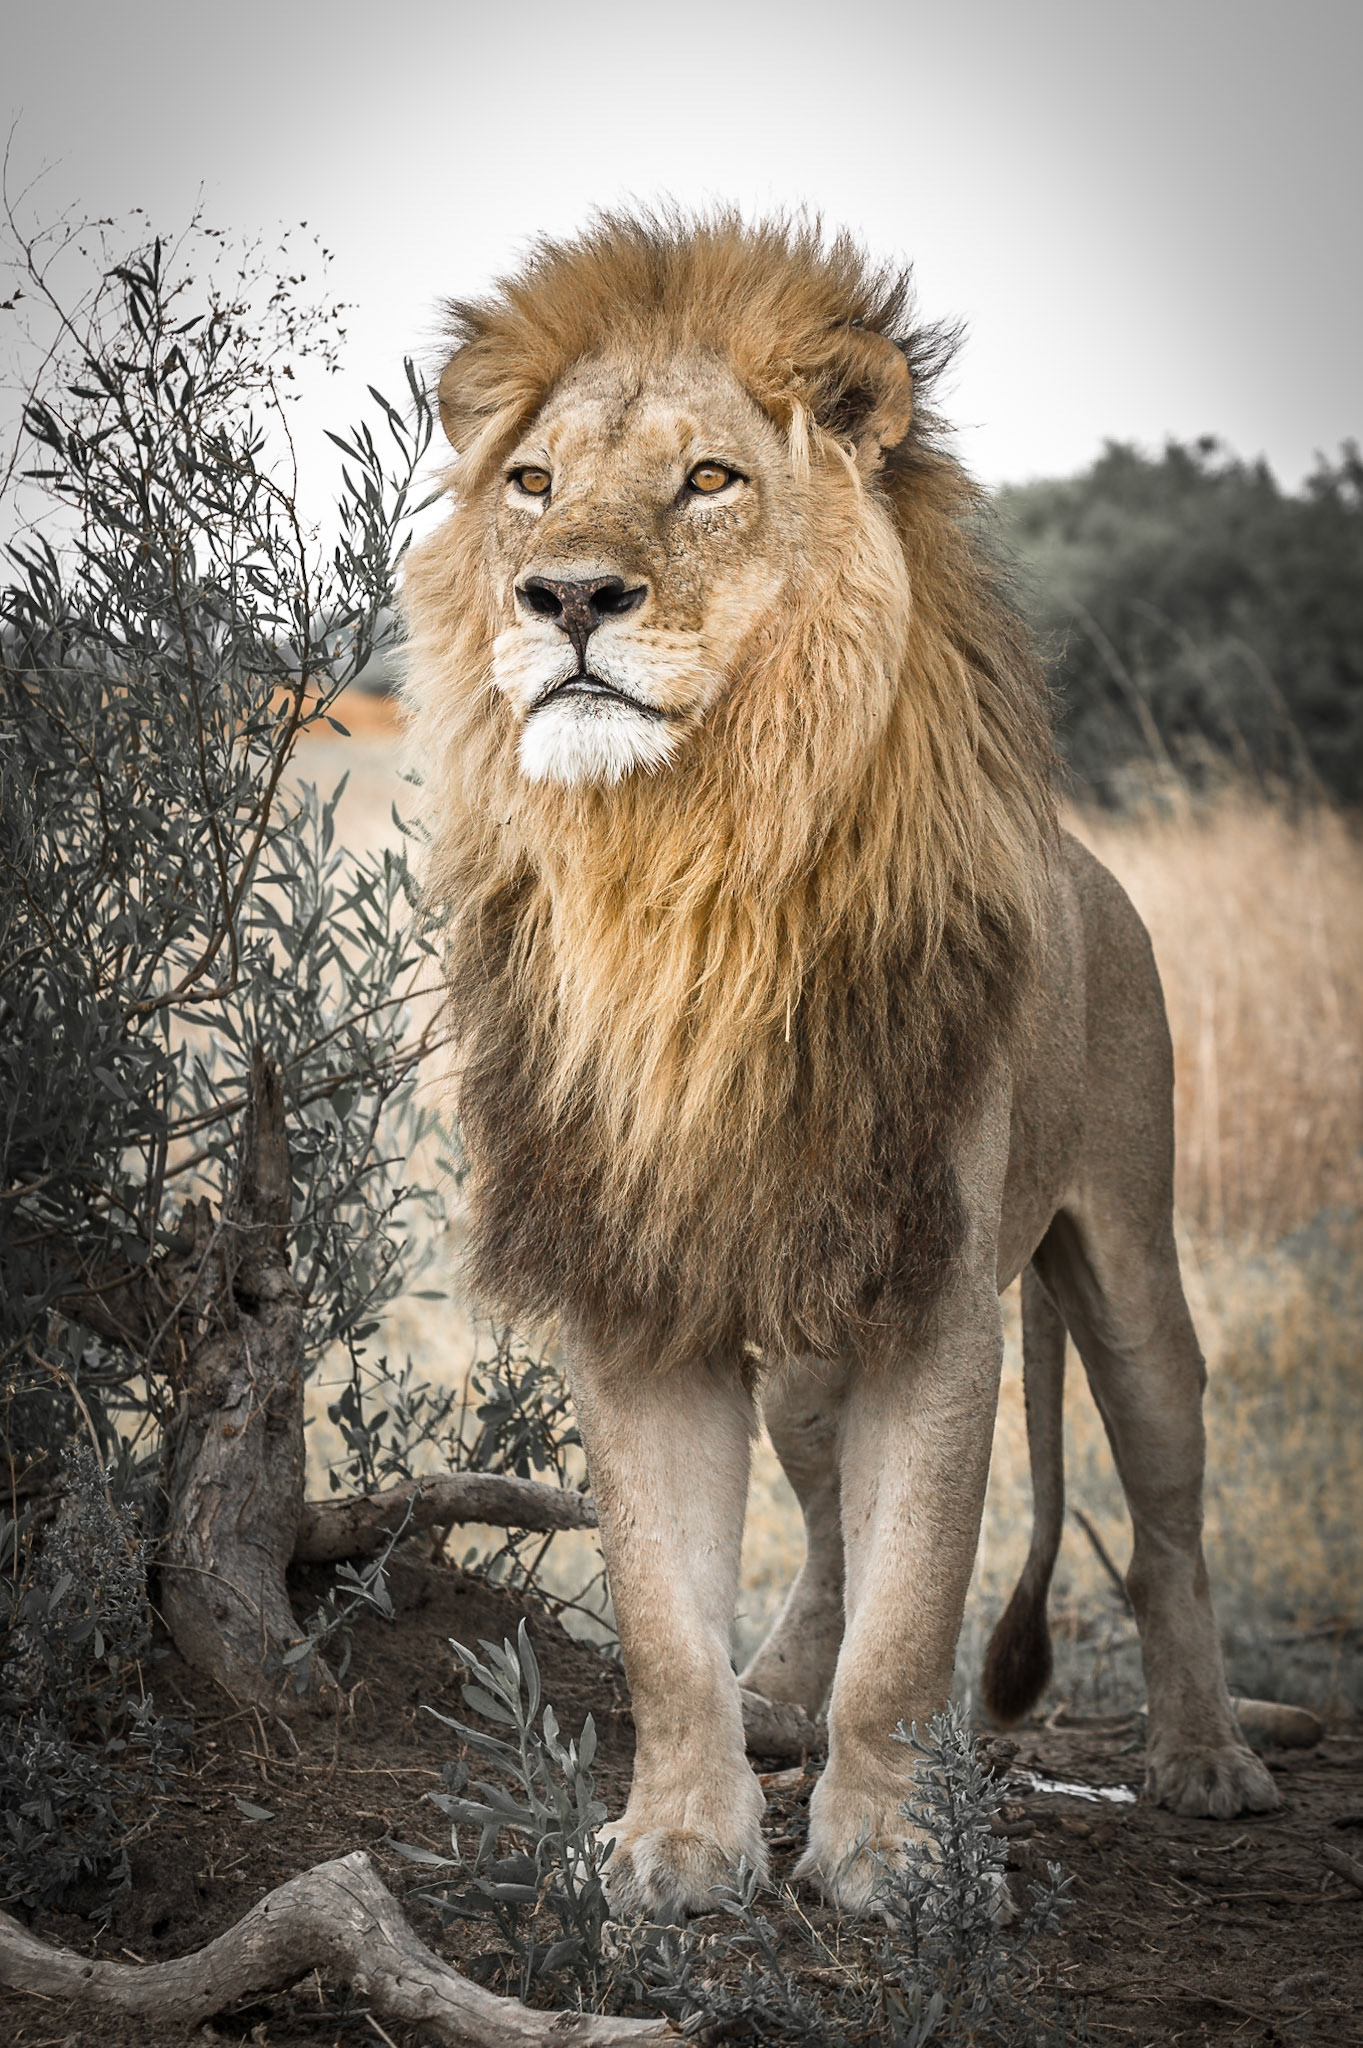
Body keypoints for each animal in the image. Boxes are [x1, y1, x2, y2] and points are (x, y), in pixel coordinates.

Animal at [401, 211, 1278, 1917]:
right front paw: (677, 1846)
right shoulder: (638, 1286)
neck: (686, 865)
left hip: (1124, 1266)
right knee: (816, 1534)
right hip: (811, 1337)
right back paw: (775, 1701)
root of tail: (1089, 862)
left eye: (709, 480)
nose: (564, 596)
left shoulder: (934, 1305)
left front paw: (891, 1858)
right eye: (530, 481)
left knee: (1163, 1521)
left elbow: (914, 1608)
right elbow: (667, 1620)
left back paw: (1203, 1757)